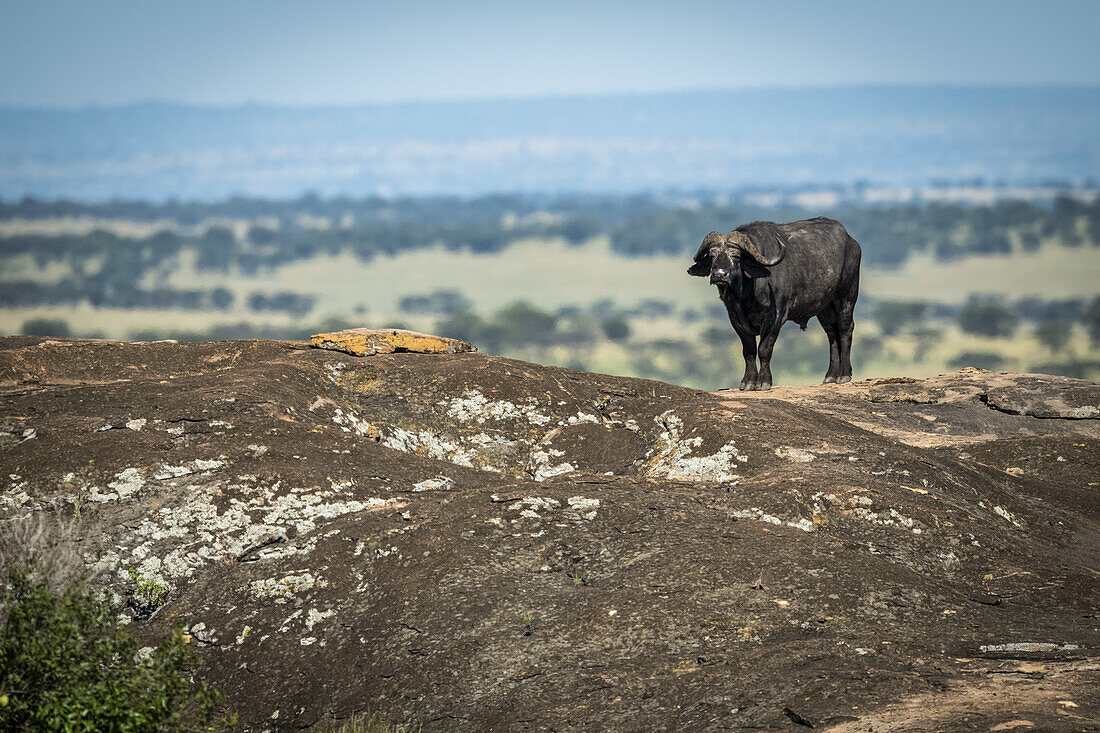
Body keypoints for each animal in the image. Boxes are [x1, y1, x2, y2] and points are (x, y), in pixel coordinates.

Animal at [686, 215, 858, 387]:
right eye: (712, 255)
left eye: (735, 256)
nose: (719, 275)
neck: (746, 295)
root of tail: (852, 243)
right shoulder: (736, 319)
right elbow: (748, 351)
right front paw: (748, 381)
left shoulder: (775, 317)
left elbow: (764, 349)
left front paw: (763, 381)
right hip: (824, 307)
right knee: (831, 332)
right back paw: (830, 376)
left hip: (847, 295)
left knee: (845, 328)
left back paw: (843, 375)